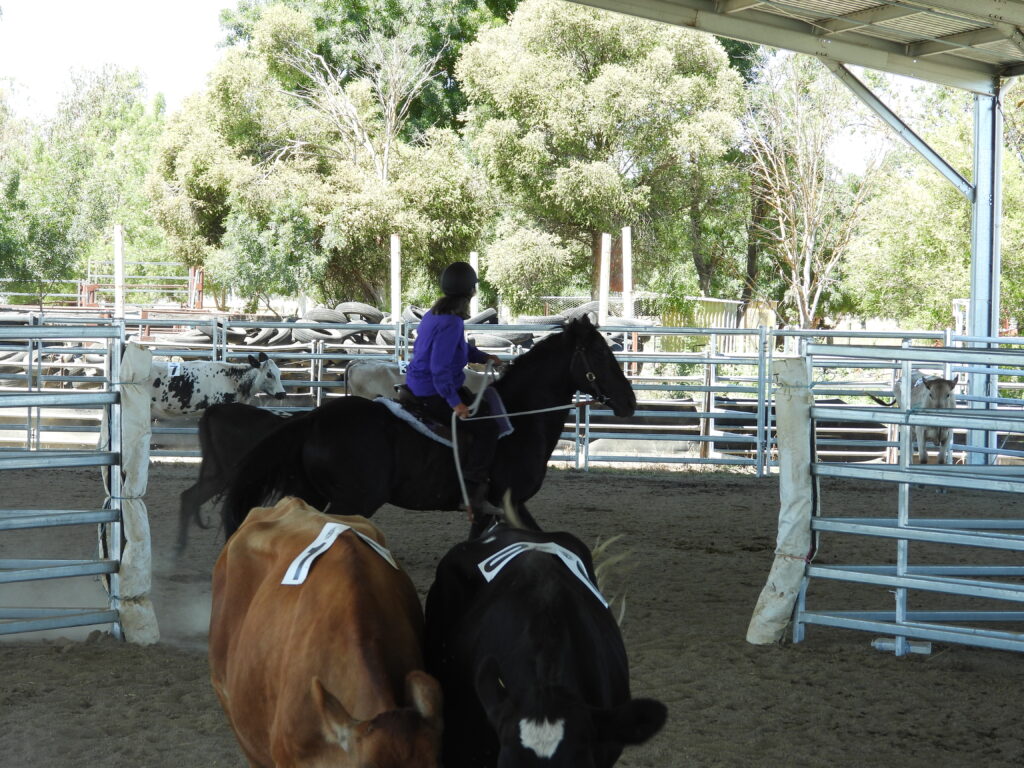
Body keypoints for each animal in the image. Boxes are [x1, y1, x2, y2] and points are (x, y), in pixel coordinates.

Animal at [216, 315, 634, 536]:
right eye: (600, 352)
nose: (629, 402)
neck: (518, 420)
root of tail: (315, 418)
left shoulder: (493, 510)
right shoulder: (508, 501)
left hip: (312, 494)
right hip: (354, 499)